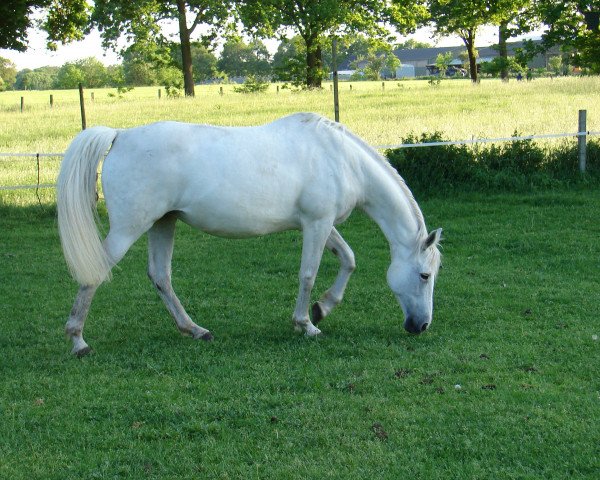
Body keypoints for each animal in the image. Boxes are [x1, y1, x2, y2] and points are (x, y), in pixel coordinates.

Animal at [56, 113, 440, 356]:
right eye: (424, 275)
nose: (421, 326)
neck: (342, 159)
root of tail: (120, 135)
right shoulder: (316, 223)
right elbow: (308, 274)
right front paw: (306, 324)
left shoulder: (320, 223)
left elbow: (348, 259)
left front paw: (322, 308)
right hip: (129, 228)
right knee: (96, 273)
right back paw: (78, 342)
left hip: (163, 223)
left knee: (160, 276)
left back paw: (195, 330)